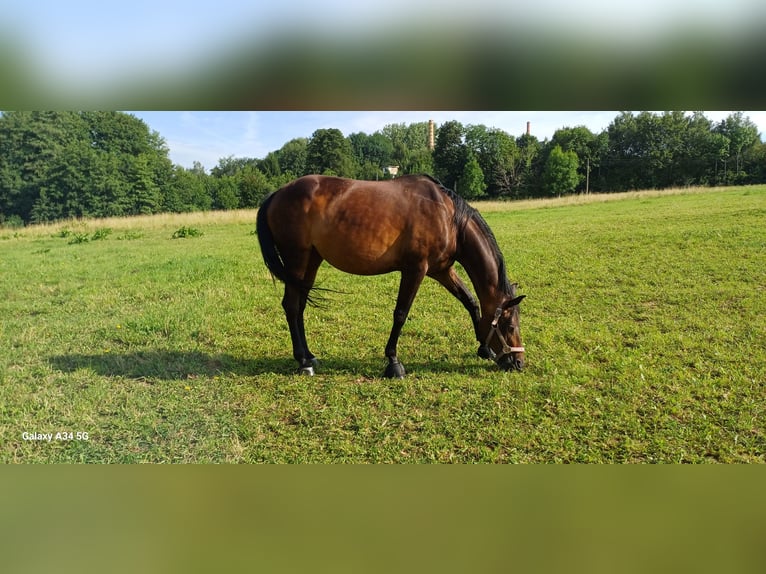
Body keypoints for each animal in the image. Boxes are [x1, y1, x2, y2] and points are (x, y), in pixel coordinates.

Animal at [256, 174, 526, 378]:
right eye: (510, 325)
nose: (519, 362)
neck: (447, 217)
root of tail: (277, 194)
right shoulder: (415, 270)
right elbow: (401, 314)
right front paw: (393, 363)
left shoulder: (442, 270)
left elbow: (470, 302)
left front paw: (484, 349)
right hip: (297, 260)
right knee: (291, 306)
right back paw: (303, 363)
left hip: (311, 261)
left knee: (299, 306)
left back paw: (309, 356)